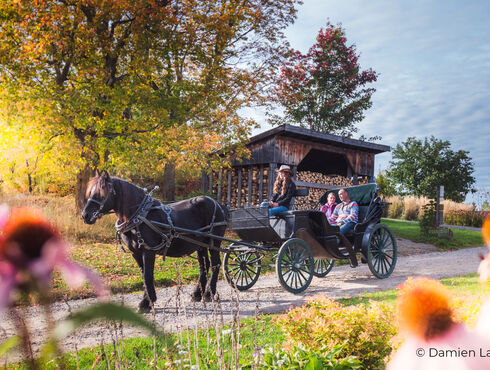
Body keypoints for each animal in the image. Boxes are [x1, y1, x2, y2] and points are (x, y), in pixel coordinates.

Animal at [81, 171, 229, 312]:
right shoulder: (135, 252)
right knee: (203, 266)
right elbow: (144, 275)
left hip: (214, 242)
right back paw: (197, 294)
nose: (85, 215)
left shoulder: (148, 251)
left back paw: (209, 294)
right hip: (200, 245)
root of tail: (218, 204)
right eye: (91, 192)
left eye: (101, 193)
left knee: (215, 264)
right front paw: (149, 300)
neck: (139, 216)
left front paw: (146, 303)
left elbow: (148, 275)